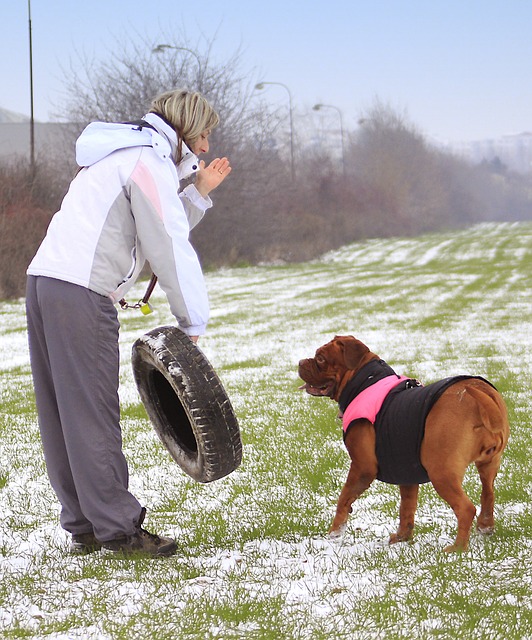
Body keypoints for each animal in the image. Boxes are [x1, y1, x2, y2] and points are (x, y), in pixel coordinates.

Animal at [298, 336, 510, 552]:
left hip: (440, 471)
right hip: (489, 465)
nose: (300, 362)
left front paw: (335, 532)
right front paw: (402, 537)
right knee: (488, 495)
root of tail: (479, 394)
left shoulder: (362, 467)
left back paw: (457, 548)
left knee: (466, 508)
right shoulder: (406, 470)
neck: (364, 381)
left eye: (320, 358)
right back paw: (485, 527)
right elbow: (406, 508)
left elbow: (344, 497)